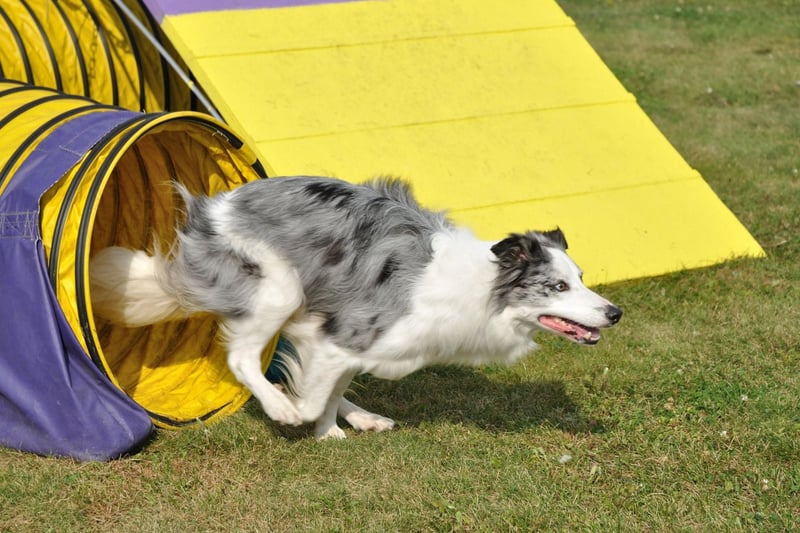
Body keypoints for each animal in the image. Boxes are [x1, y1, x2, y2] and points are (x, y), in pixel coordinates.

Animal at [90, 177, 620, 438]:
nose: (615, 313)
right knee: (241, 358)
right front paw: (299, 417)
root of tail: (209, 209)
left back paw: (362, 417)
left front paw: (330, 432)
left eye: (581, 279)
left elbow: (329, 387)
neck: (479, 289)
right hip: (278, 287)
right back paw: (279, 406)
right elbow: (312, 395)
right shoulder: (345, 332)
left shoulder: (340, 338)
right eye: (557, 286)